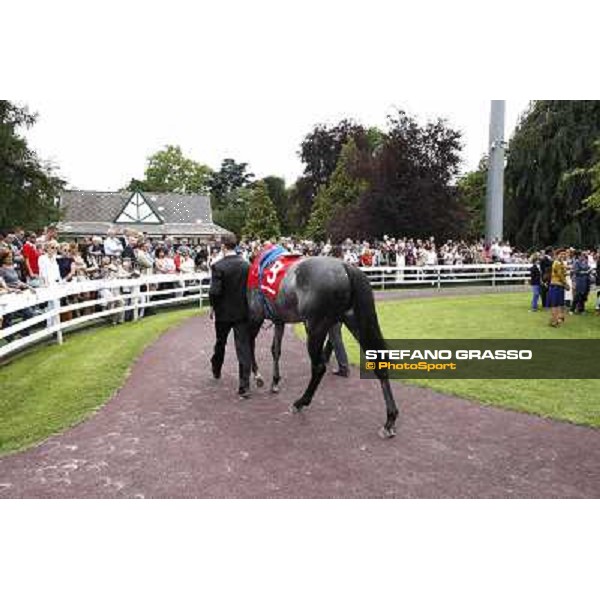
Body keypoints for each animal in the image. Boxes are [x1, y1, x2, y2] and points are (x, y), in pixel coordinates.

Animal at [248, 255, 398, 438]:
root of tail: (345, 267)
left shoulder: (255, 316)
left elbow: (250, 344)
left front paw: (258, 377)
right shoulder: (279, 320)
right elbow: (275, 350)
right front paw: (274, 381)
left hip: (315, 328)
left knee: (319, 367)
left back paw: (300, 402)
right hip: (355, 320)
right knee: (379, 362)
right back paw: (390, 420)